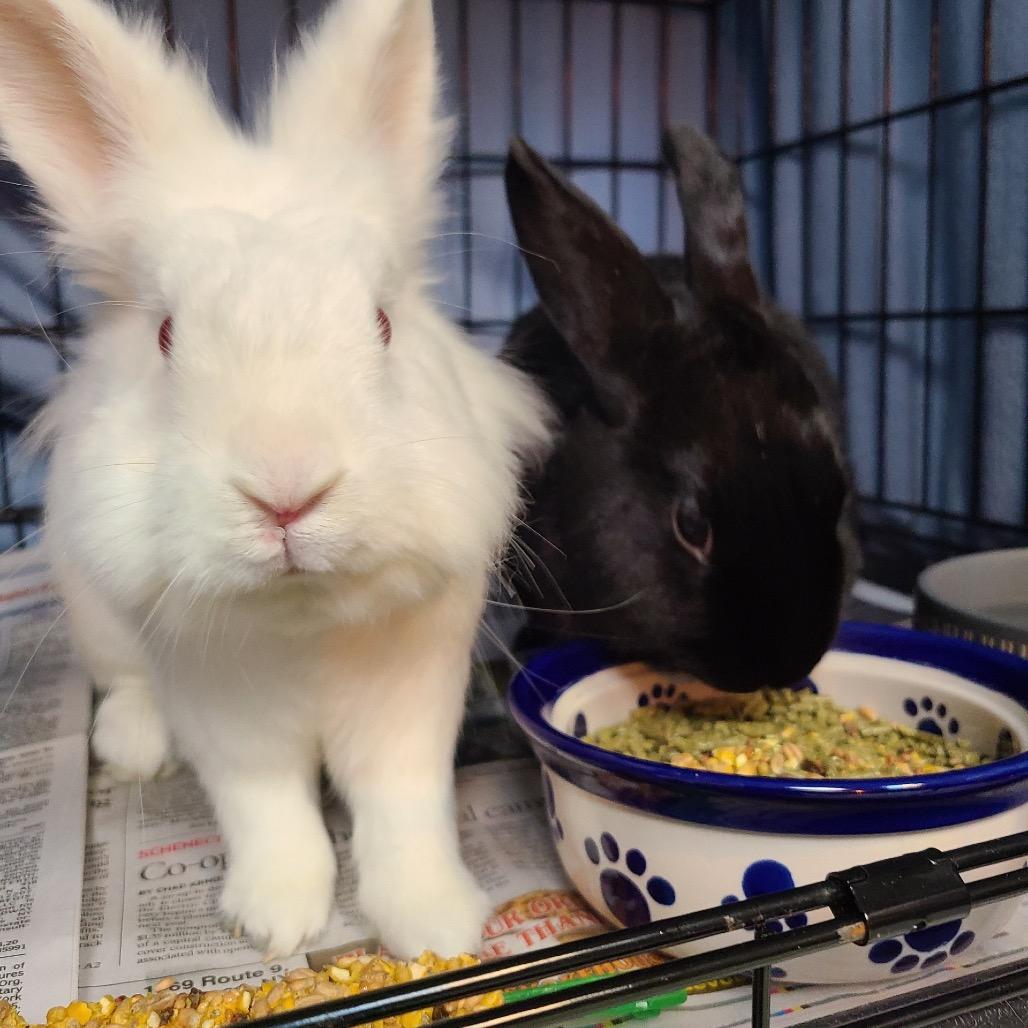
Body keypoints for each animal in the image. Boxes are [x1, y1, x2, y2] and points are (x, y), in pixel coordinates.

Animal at [0, 0, 550, 958]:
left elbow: (404, 807)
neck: (303, 618)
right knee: (126, 684)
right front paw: (275, 922)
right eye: (167, 335)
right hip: (92, 613)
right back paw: (132, 746)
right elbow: (267, 809)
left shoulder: (413, 702)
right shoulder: (225, 716)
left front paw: (437, 927)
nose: (287, 492)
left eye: (382, 322)